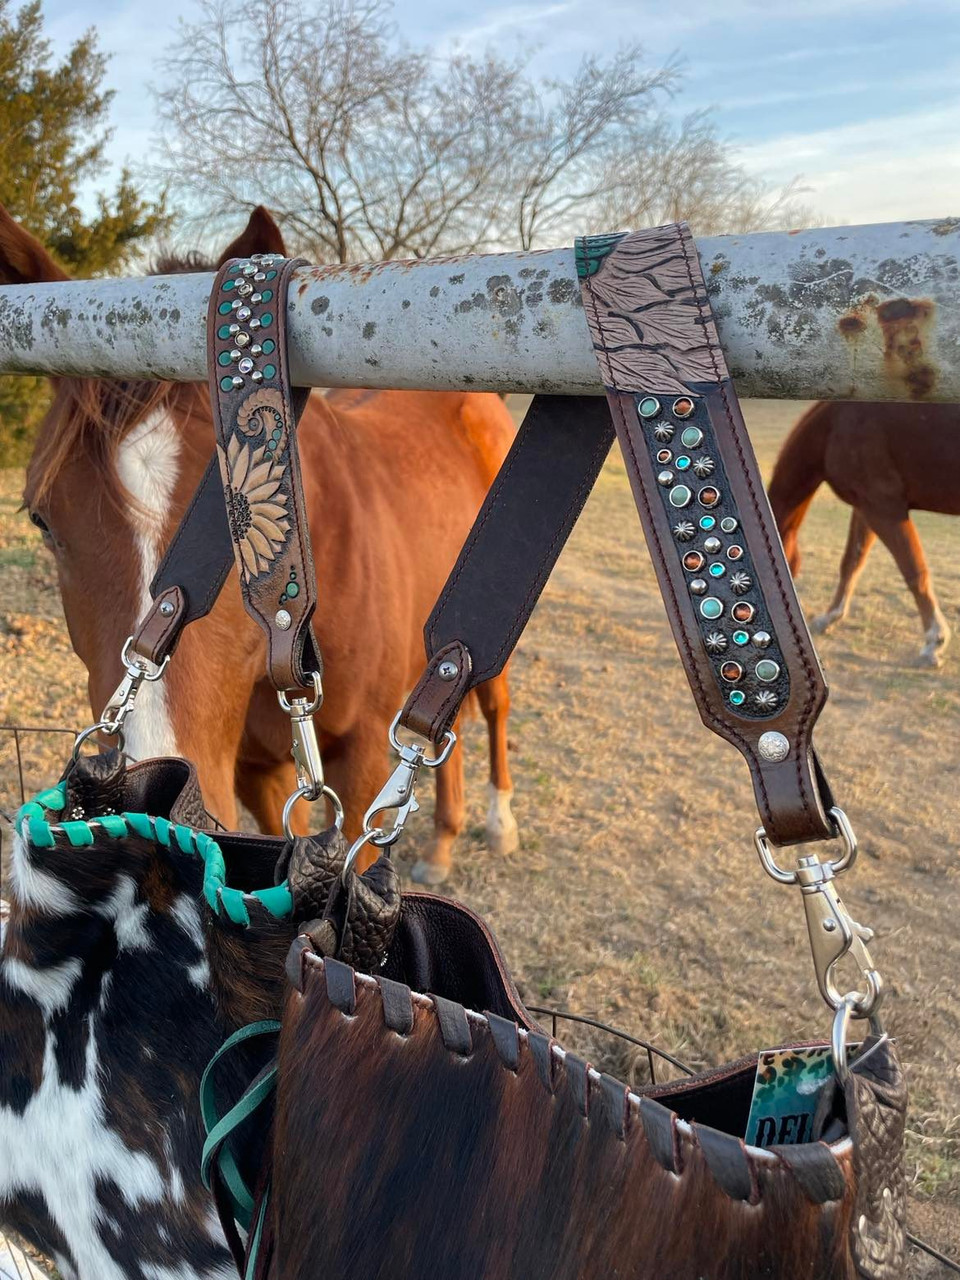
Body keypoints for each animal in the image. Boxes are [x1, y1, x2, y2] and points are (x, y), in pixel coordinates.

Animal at [3, 204, 522, 885]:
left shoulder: (363, 763)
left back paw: (497, 821)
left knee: (494, 708)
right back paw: (439, 845)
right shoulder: (256, 772)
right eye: (41, 520)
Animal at [768, 399, 960, 665]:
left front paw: (935, 641)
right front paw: (830, 617)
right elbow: (852, 562)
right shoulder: (865, 507)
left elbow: (915, 571)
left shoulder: (884, 508)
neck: (834, 425)